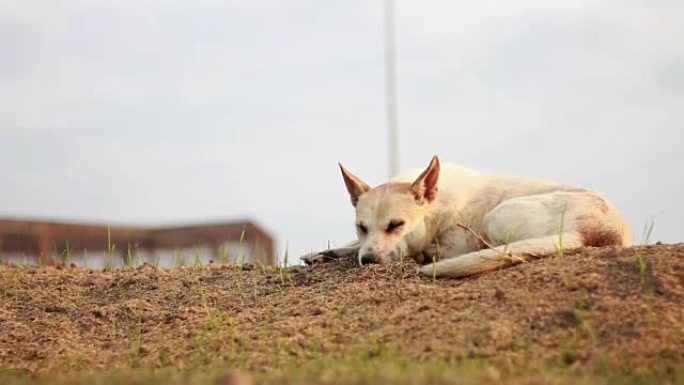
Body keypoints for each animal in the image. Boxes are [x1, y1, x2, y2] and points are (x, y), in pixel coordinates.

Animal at [302, 154, 632, 278]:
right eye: (361, 227)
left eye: (396, 225)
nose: (369, 261)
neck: (436, 209)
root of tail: (594, 232)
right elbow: (349, 246)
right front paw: (324, 253)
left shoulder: (445, 245)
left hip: (496, 216)